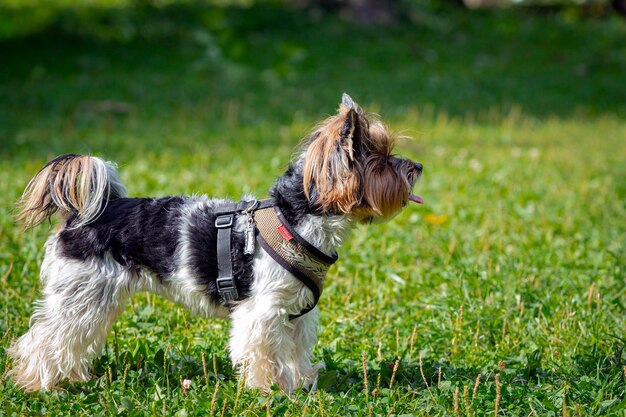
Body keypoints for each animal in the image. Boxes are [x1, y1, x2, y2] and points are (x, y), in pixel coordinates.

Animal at [7, 93, 422, 394]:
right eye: (382, 160)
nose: (417, 167)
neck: (296, 218)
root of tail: (86, 213)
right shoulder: (262, 311)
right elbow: (264, 354)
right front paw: (268, 391)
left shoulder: (296, 313)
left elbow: (294, 353)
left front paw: (298, 386)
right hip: (81, 294)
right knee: (45, 338)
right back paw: (38, 385)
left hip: (95, 298)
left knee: (75, 339)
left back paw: (72, 377)